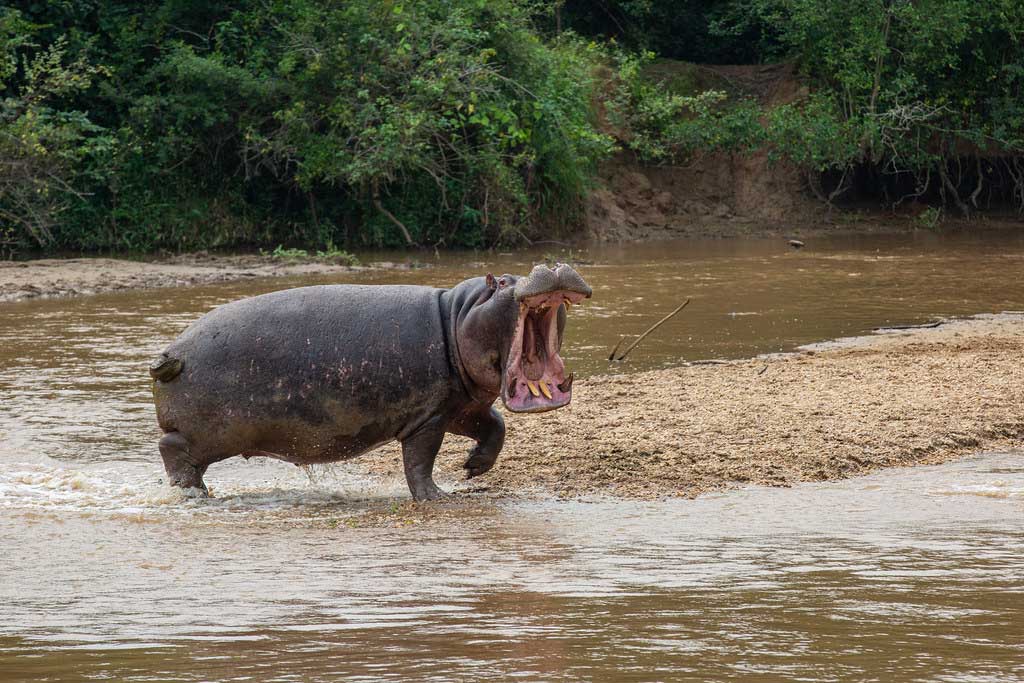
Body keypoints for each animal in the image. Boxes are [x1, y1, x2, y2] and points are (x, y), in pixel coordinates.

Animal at [148, 264, 589, 499]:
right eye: (498, 283)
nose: (550, 264)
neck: (457, 315)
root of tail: (170, 354)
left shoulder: (460, 406)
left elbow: (495, 426)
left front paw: (473, 469)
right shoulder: (427, 417)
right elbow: (420, 460)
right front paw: (437, 497)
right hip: (207, 433)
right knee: (172, 450)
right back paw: (193, 495)